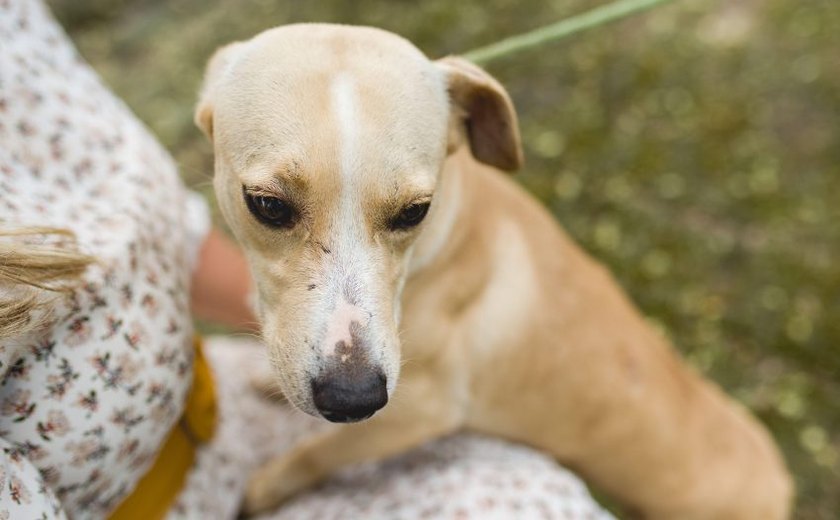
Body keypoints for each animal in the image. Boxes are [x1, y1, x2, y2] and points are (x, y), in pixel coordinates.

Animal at [197, 24, 796, 520]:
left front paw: (259, 493)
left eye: (415, 211)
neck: (443, 241)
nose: (353, 399)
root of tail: (779, 479)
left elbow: (312, 456)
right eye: (267, 205)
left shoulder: (420, 411)